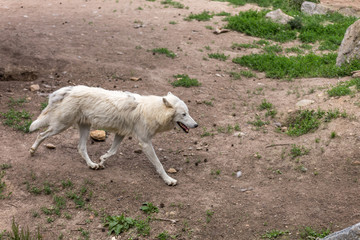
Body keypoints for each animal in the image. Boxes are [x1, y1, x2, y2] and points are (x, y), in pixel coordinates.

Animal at [29, 86, 198, 186]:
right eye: (184, 114)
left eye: (188, 112)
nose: (196, 125)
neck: (154, 111)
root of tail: (69, 90)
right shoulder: (144, 142)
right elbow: (159, 164)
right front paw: (169, 180)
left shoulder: (120, 133)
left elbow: (113, 151)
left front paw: (102, 160)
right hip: (61, 126)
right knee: (40, 135)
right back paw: (32, 151)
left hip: (84, 128)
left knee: (81, 148)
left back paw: (92, 165)